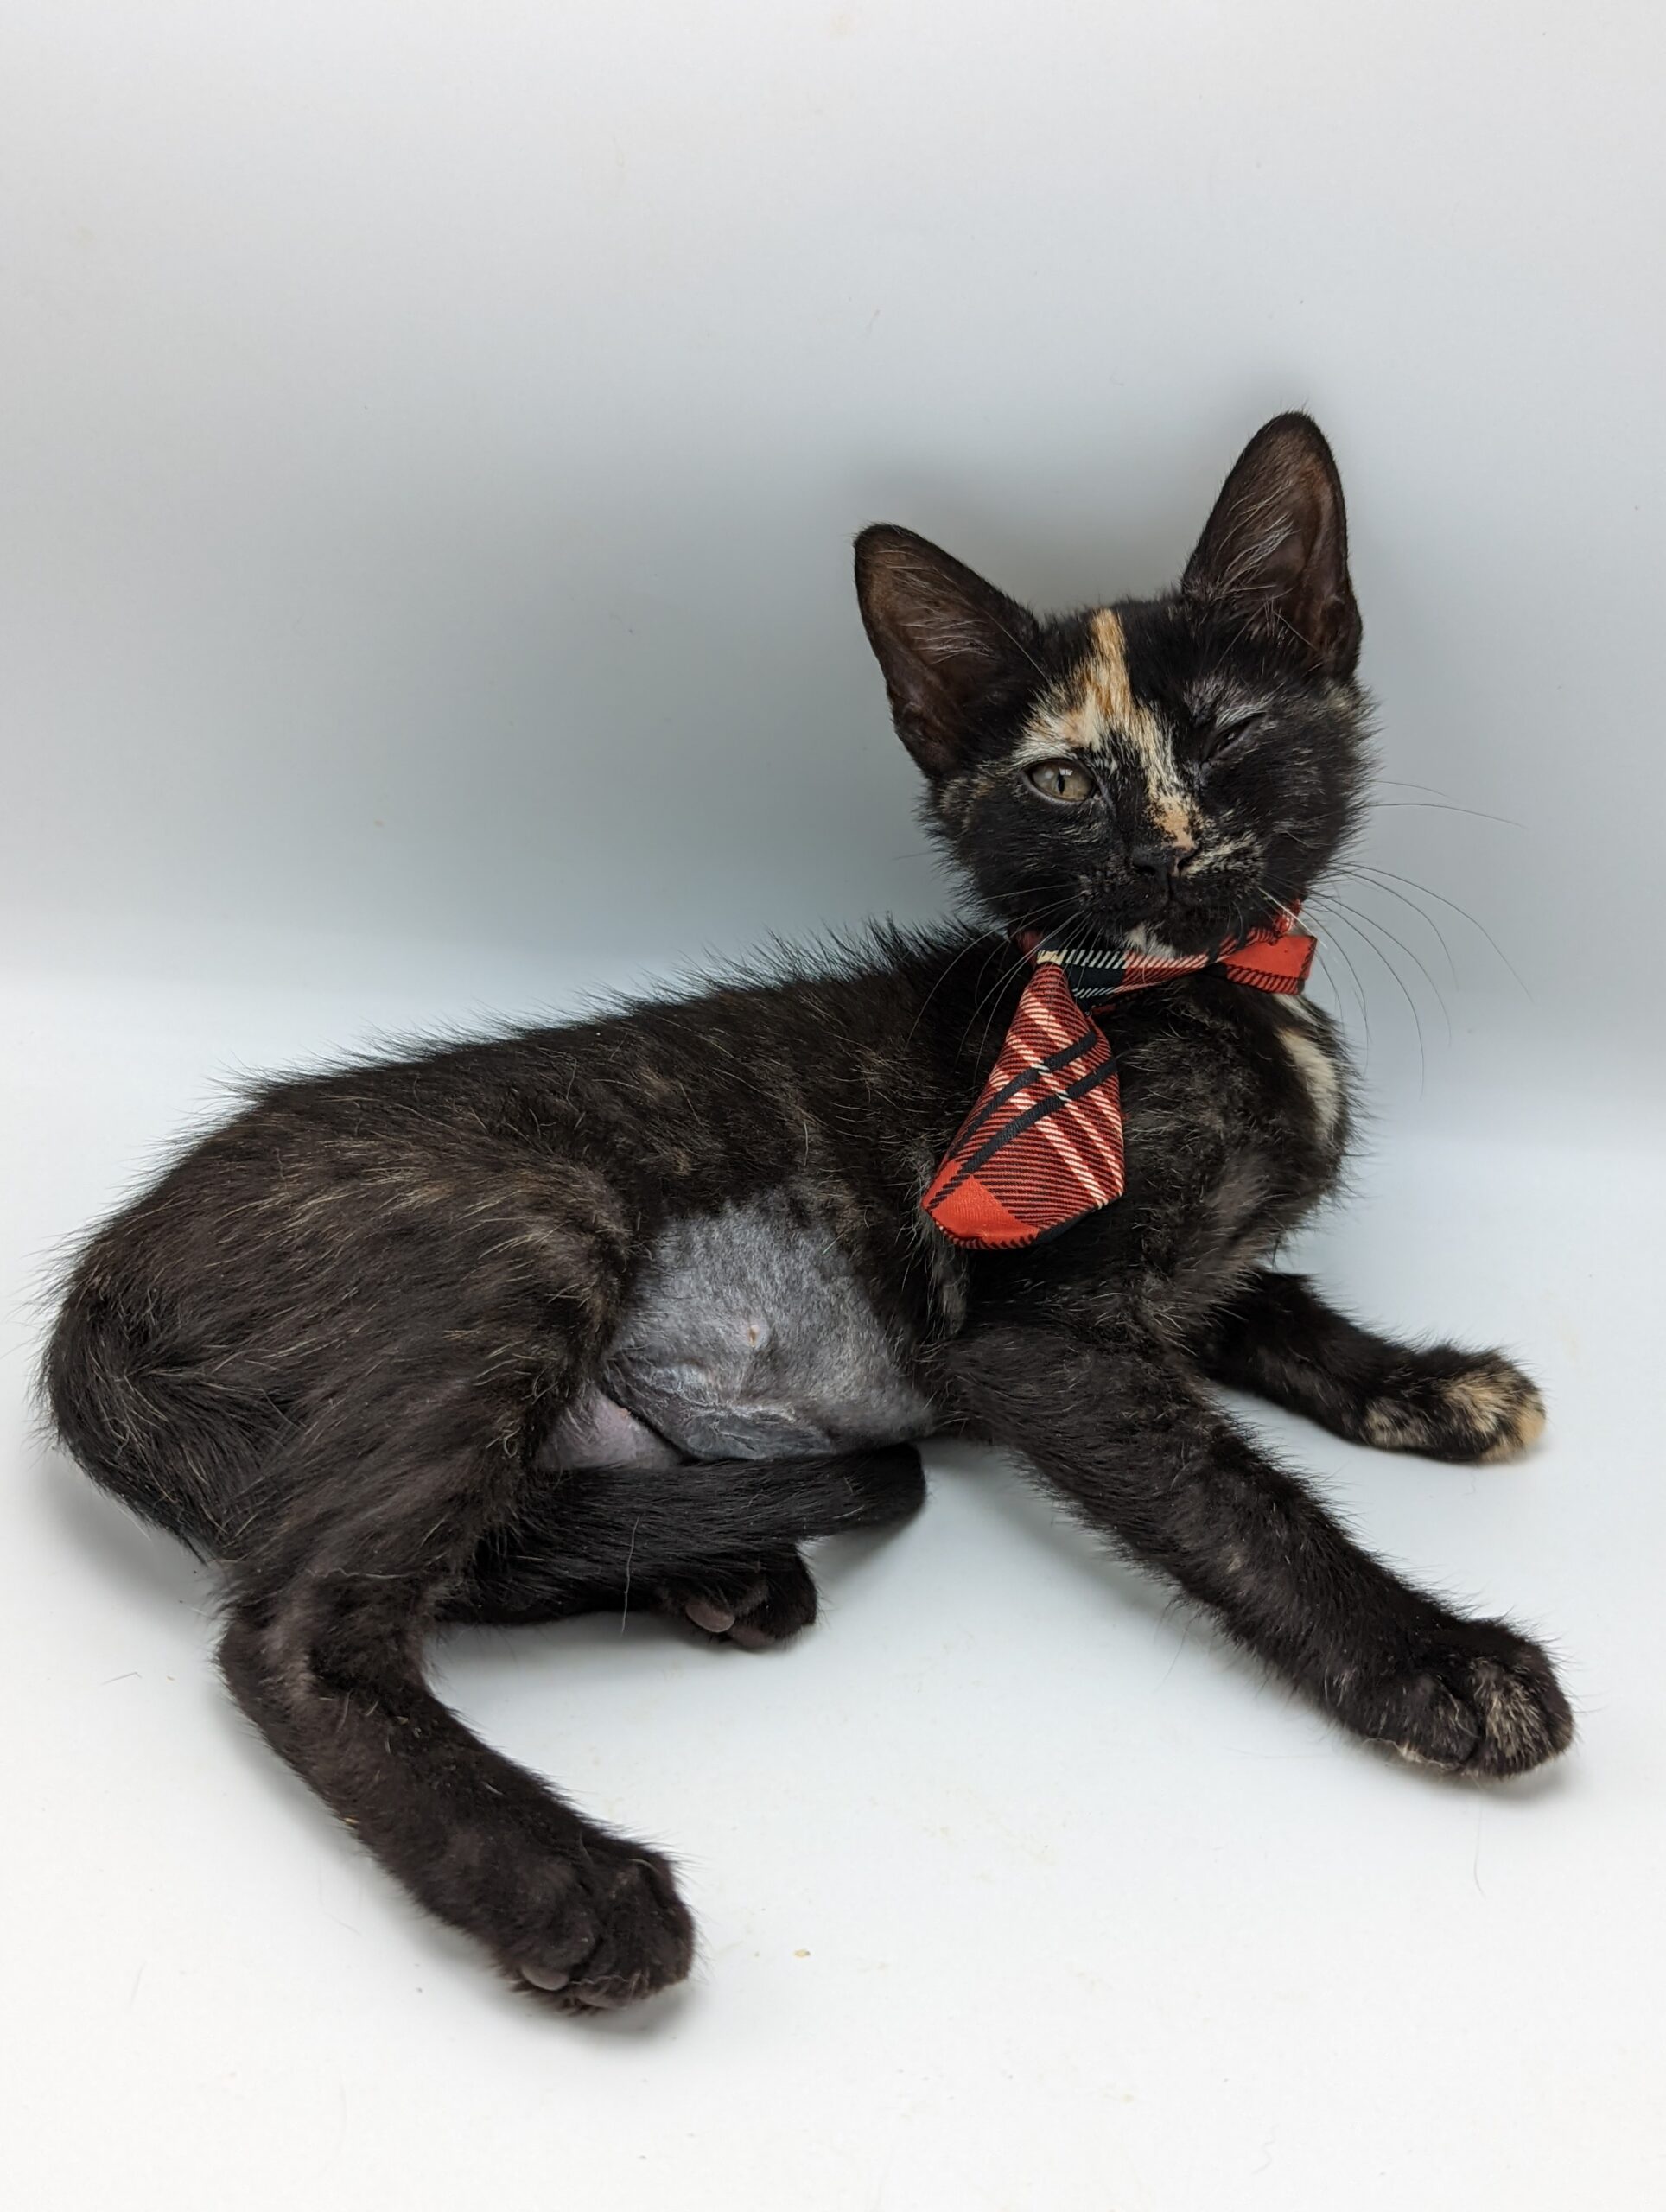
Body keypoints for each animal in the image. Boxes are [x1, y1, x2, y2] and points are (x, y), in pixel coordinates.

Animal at [45, 411, 1566, 2008]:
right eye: (1062, 786)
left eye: (1223, 734)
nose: (1161, 847)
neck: (1183, 992)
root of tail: (108, 1277)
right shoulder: (1035, 1338)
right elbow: (1235, 1502)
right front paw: (1431, 1660)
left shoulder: (1179, 1278)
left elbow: (1274, 1303)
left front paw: (1434, 1383)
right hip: (524, 1230)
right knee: (293, 1627)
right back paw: (563, 1882)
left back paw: (721, 1571)